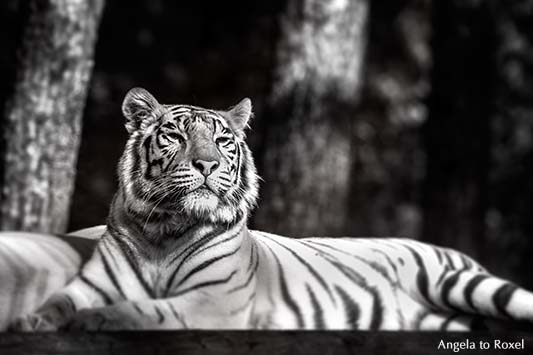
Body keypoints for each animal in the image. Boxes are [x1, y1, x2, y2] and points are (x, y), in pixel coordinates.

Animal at [9, 87, 533, 332]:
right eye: (175, 135)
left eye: (223, 140)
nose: (206, 163)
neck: (164, 230)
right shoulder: (91, 284)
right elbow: (58, 302)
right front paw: (29, 321)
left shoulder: (214, 299)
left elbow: (146, 309)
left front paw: (101, 319)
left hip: (462, 282)